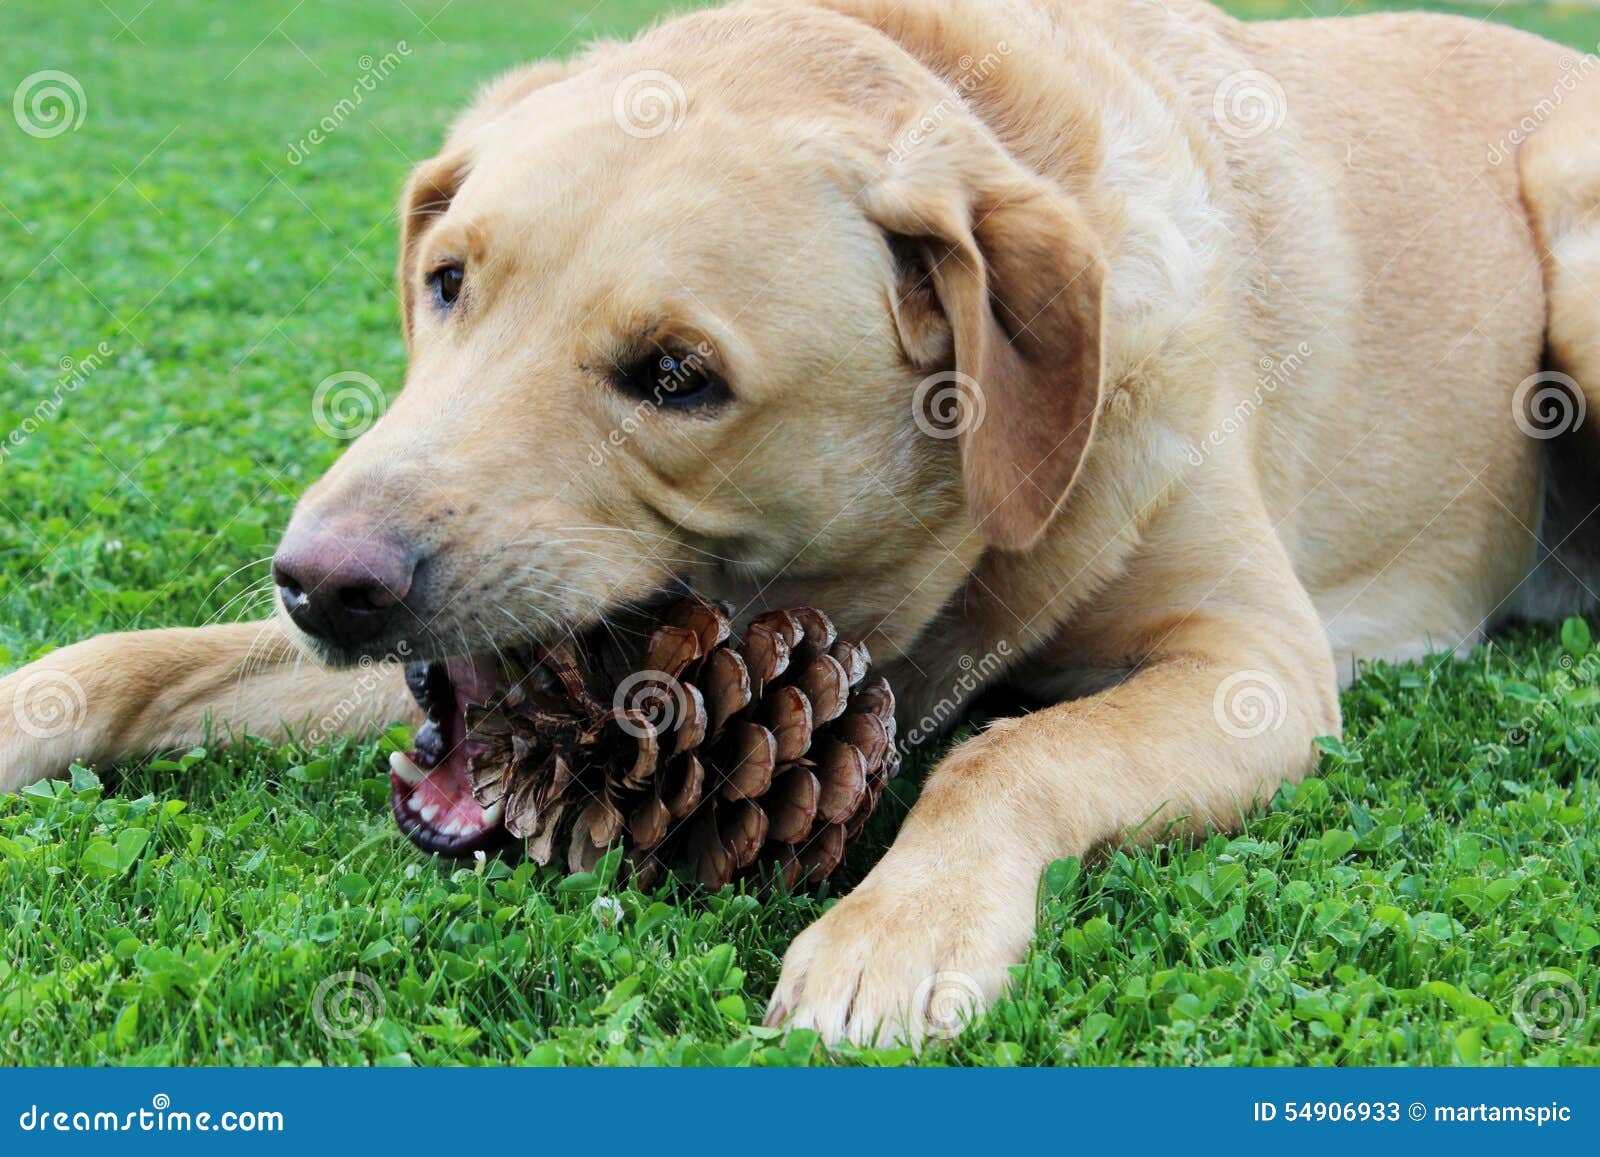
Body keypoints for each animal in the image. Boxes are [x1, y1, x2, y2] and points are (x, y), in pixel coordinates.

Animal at [3, 0, 1600, 1049]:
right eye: (448, 280)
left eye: (677, 376)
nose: (323, 585)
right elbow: (130, 654)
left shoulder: (1255, 664)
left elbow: (1016, 753)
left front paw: (896, 932)